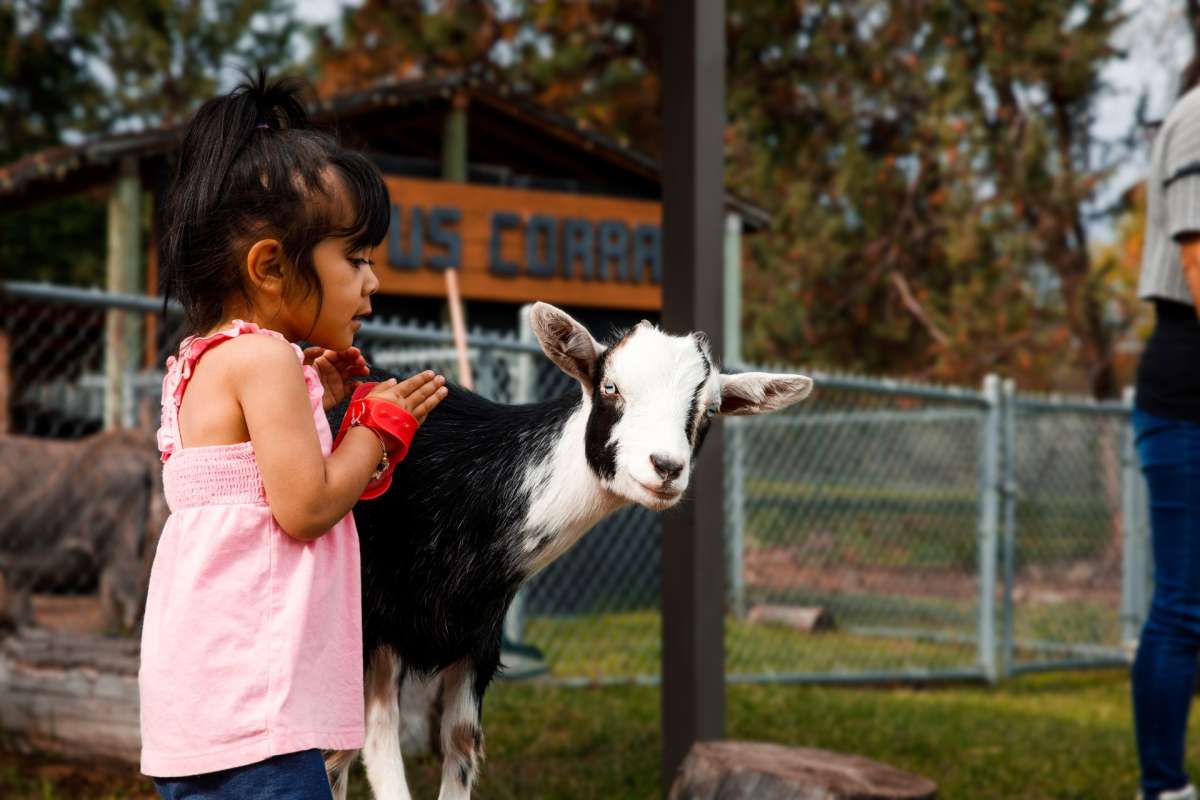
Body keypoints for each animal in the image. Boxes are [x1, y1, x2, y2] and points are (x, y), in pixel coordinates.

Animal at [328, 303, 811, 796]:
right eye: (610, 386)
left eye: (711, 408)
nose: (666, 467)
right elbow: (336, 755)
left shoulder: (475, 640)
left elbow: (459, 744)